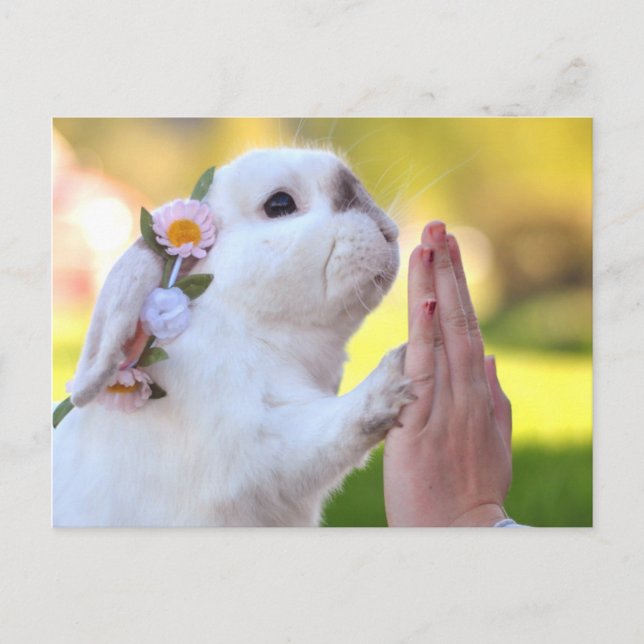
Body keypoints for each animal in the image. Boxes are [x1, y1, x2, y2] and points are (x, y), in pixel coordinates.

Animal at [53, 147, 416, 527]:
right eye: (279, 204)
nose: (387, 229)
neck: (245, 325)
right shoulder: (253, 448)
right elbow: (321, 435)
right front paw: (393, 374)